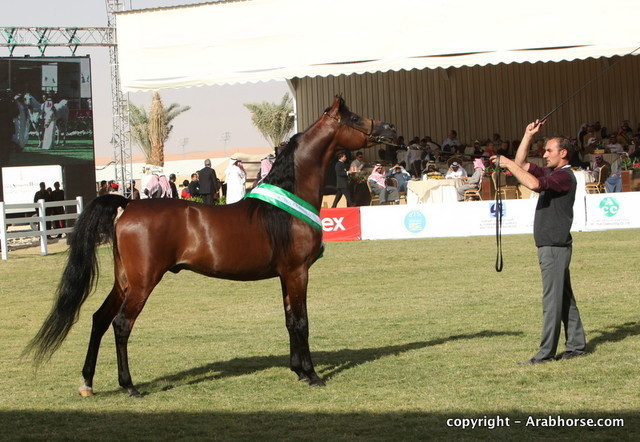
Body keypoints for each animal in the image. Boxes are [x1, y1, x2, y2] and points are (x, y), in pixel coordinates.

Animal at [25, 96, 396, 397]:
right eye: (355, 118)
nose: (389, 128)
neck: (285, 206)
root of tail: (127, 205)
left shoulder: (284, 275)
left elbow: (290, 320)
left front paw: (299, 372)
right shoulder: (297, 272)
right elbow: (302, 321)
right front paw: (313, 375)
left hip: (124, 280)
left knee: (99, 319)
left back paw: (87, 383)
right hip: (143, 282)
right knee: (121, 324)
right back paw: (129, 386)